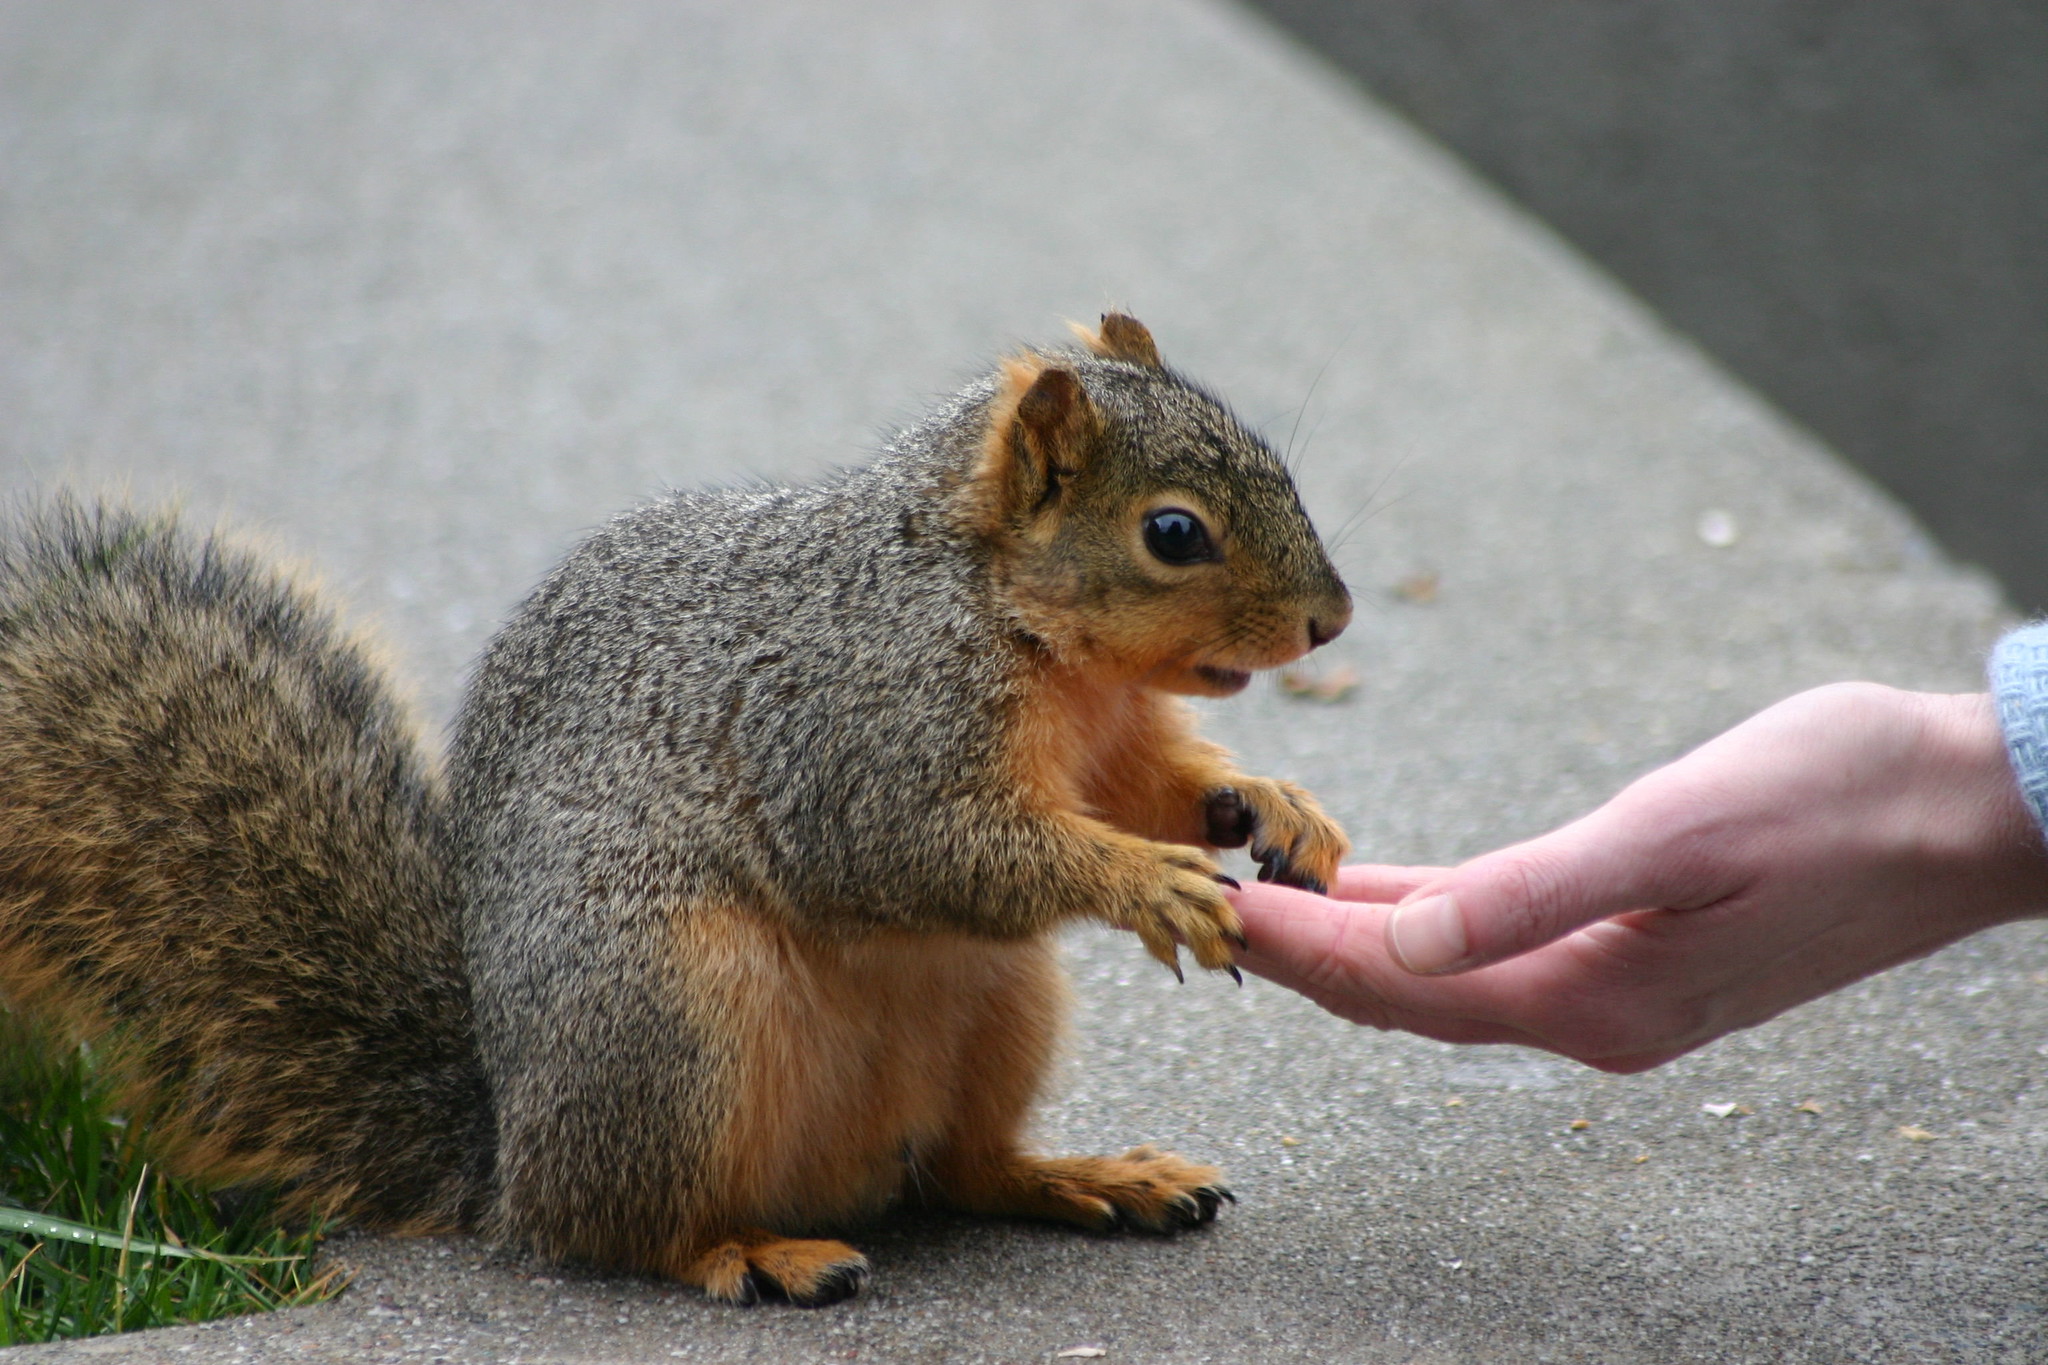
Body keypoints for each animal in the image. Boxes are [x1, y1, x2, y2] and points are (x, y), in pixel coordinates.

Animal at [0, 314, 1352, 1306]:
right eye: (1171, 532)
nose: (1329, 622)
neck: (1001, 609)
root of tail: (506, 1162)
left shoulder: (1109, 742)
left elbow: (1145, 793)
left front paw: (1271, 805)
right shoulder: (859, 730)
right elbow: (928, 847)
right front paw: (1150, 882)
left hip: (996, 1008)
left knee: (961, 1170)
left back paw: (1083, 1177)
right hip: (671, 1020)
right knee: (623, 1230)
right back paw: (748, 1253)